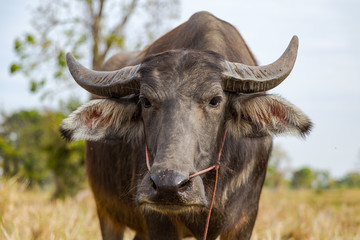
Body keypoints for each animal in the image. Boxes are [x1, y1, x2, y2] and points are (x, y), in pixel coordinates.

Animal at [60, 10, 310, 239]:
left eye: (215, 100)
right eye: (145, 101)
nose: (167, 185)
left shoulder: (245, 220)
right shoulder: (157, 219)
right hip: (106, 212)